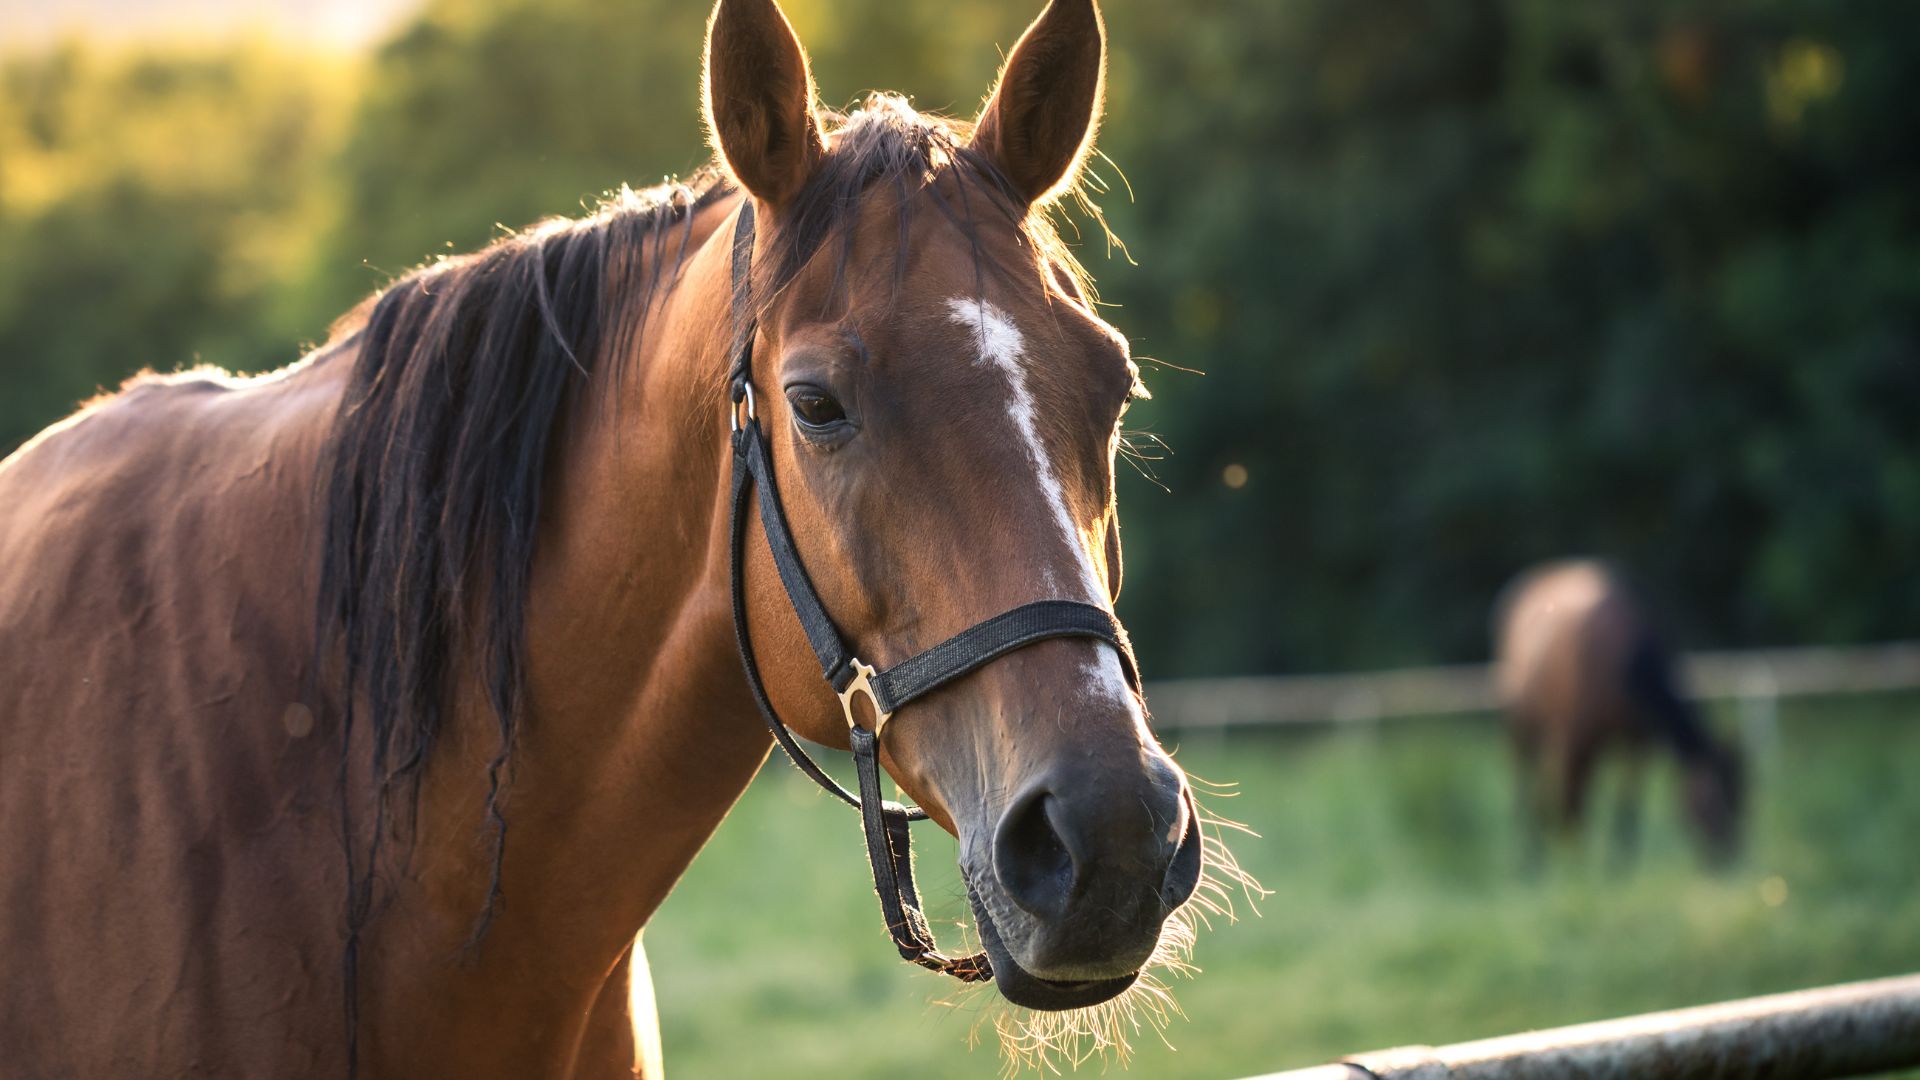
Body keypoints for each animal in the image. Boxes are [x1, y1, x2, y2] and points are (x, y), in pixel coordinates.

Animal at [1493, 559, 1744, 869]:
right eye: (1711, 803)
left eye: (1742, 800)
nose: (1728, 860)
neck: (1625, 658)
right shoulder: (1578, 738)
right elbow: (1573, 800)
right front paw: (1576, 865)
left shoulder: (1638, 744)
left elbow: (1627, 803)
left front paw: (1619, 863)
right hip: (1522, 726)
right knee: (1527, 786)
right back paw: (1529, 859)